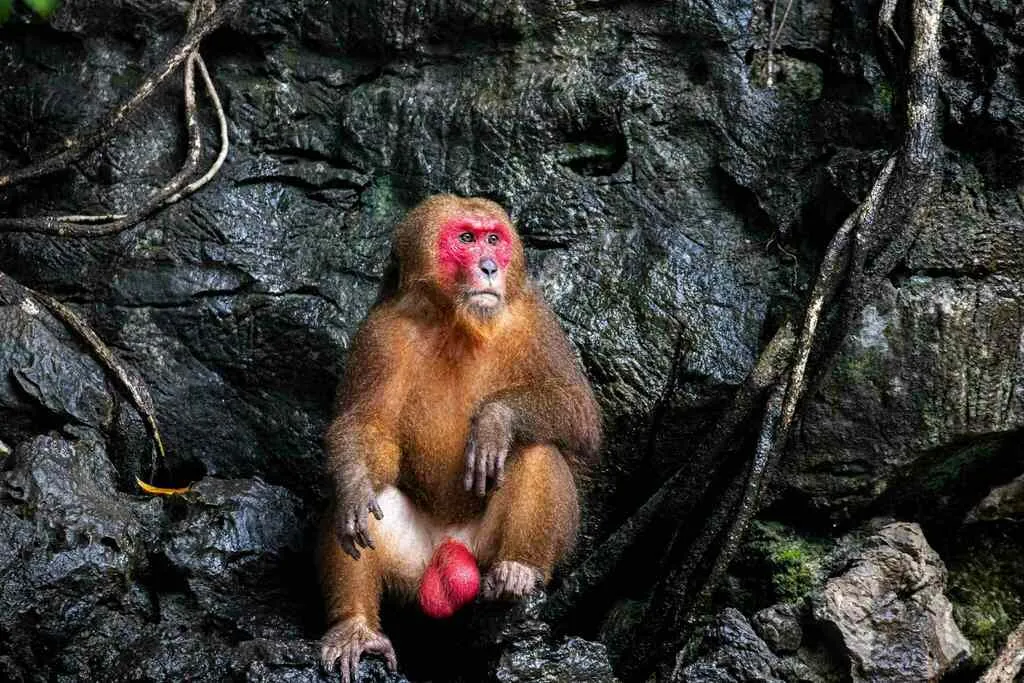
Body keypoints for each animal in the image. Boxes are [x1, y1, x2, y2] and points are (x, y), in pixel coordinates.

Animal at [317, 194, 602, 682]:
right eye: (466, 239)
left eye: (494, 240)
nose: (489, 266)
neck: (456, 321)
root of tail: (450, 544)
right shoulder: (379, 333)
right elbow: (366, 429)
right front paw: (353, 486)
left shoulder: (534, 319)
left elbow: (581, 414)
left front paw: (494, 420)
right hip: (414, 567)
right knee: (362, 504)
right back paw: (355, 626)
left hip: (488, 550)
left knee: (537, 449)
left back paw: (518, 570)